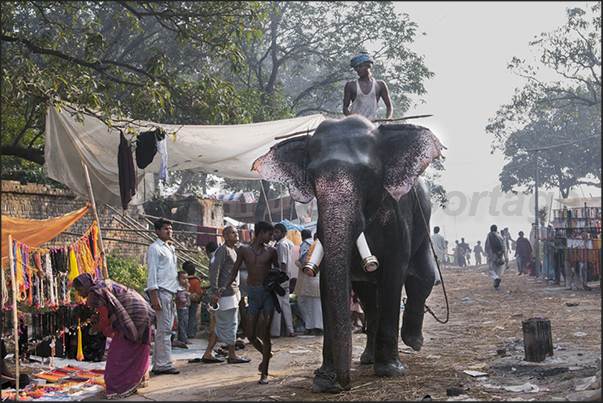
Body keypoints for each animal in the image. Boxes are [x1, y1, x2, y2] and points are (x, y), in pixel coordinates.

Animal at [252, 115, 446, 392]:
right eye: (312, 175)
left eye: (366, 174)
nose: (344, 384)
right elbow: (326, 281)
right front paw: (325, 380)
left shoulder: (400, 216)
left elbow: (394, 274)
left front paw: (390, 370)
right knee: (368, 296)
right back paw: (367, 358)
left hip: (423, 225)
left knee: (423, 278)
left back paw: (413, 342)